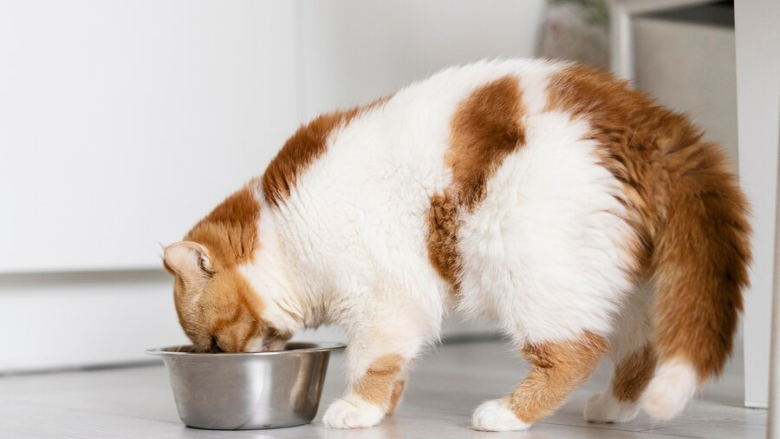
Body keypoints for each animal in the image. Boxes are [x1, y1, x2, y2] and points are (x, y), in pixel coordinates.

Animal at [163, 59, 748, 434]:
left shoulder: (381, 299)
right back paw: (614, 408)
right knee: (641, 349)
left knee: (577, 351)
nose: (228, 360)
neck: (287, 232)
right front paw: (386, 407)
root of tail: (647, 121)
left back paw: (507, 415)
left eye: (213, 344)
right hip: (622, 283)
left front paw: (358, 409)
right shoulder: (399, 309)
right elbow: (397, 363)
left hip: (525, 266)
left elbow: (370, 361)